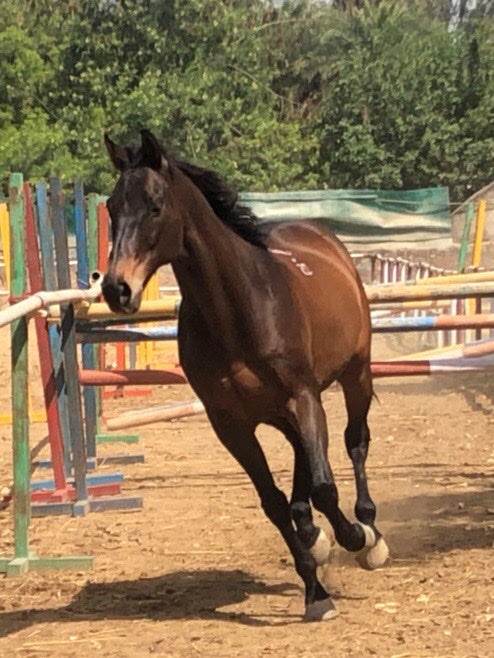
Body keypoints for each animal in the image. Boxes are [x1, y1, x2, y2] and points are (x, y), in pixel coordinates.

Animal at [101, 129, 389, 622]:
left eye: (155, 206)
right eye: (110, 207)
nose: (116, 289)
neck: (239, 310)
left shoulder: (303, 396)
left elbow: (325, 487)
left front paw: (354, 538)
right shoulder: (230, 424)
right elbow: (273, 502)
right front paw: (316, 591)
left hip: (355, 376)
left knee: (355, 442)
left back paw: (368, 532)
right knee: (302, 461)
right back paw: (315, 536)